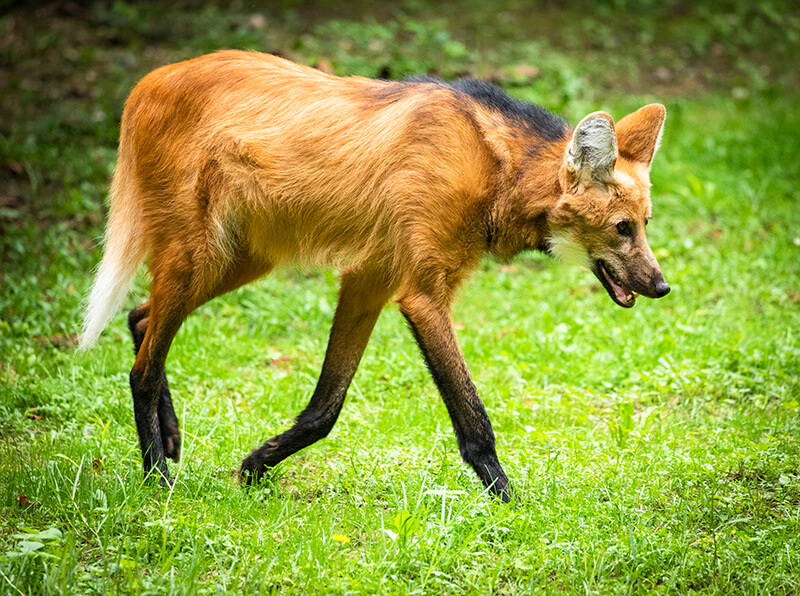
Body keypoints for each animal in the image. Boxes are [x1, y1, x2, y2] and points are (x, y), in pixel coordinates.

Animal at [79, 51, 668, 500]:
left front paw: (254, 465)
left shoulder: (369, 280)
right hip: (198, 255)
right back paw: (157, 480)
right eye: (621, 228)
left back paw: (171, 439)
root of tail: (150, 80)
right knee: (142, 368)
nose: (661, 286)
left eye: (644, 223)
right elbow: (473, 417)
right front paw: (510, 504)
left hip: (239, 258)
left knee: (139, 318)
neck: (495, 169)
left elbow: (325, 408)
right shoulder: (421, 296)